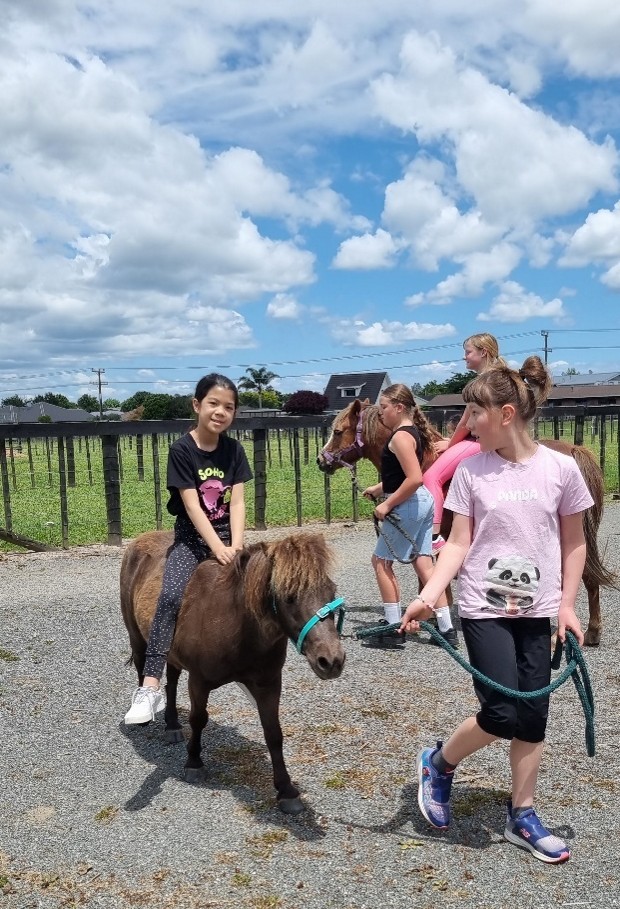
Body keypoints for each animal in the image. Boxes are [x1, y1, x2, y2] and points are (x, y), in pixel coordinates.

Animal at [120, 531, 346, 814]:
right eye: (289, 596)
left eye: (331, 591)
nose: (331, 660)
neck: (235, 623)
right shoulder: (199, 681)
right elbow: (198, 719)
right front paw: (194, 763)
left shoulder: (268, 684)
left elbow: (274, 733)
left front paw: (287, 791)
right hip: (138, 638)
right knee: (145, 668)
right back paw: (144, 714)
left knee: (171, 680)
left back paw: (172, 725)